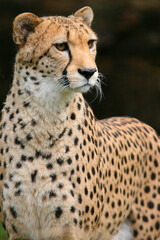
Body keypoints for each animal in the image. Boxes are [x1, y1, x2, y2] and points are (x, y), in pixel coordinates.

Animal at [0, 5, 160, 240]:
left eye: (90, 43)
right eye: (61, 46)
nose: (89, 72)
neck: (44, 114)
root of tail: (140, 122)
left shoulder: (73, 231)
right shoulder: (18, 230)